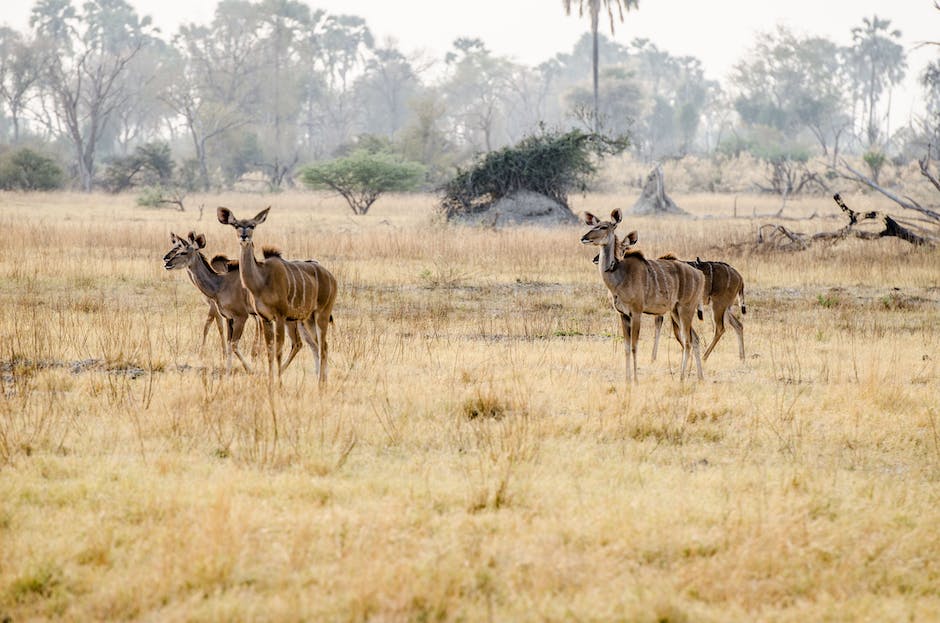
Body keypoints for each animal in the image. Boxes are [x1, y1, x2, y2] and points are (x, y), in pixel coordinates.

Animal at [163, 232, 302, 372]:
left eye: (183, 252)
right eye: (177, 249)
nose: (167, 263)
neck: (220, 284)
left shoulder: (241, 316)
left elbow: (233, 344)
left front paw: (249, 369)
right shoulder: (229, 317)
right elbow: (229, 343)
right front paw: (228, 371)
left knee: (295, 342)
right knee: (297, 342)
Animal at [218, 207, 340, 386]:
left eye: (252, 225)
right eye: (236, 225)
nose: (244, 236)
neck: (261, 281)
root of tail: (331, 277)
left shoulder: (281, 316)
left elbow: (278, 350)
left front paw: (279, 383)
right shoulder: (265, 318)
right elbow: (269, 350)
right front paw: (270, 381)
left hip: (322, 314)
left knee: (323, 345)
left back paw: (321, 383)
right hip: (308, 319)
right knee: (318, 345)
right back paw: (322, 380)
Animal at [580, 210, 704, 382]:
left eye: (604, 227)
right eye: (593, 225)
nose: (584, 238)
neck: (619, 276)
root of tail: (700, 275)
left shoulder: (636, 312)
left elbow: (634, 346)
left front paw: (636, 380)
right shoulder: (623, 315)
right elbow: (626, 347)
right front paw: (627, 380)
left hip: (686, 309)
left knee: (688, 341)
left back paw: (681, 378)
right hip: (676, 311)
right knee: (695, 339)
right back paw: (700, 378)